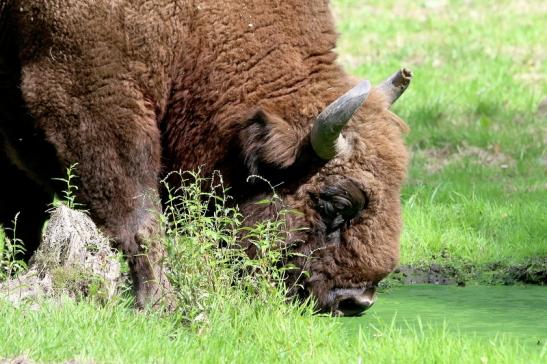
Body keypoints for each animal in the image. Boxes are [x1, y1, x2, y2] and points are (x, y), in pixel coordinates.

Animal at [0, 0, 412, 316]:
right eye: (336, 203)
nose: (356, 300)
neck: (194, 25)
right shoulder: (93, 96)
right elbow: (138, 218)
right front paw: (160, 305)